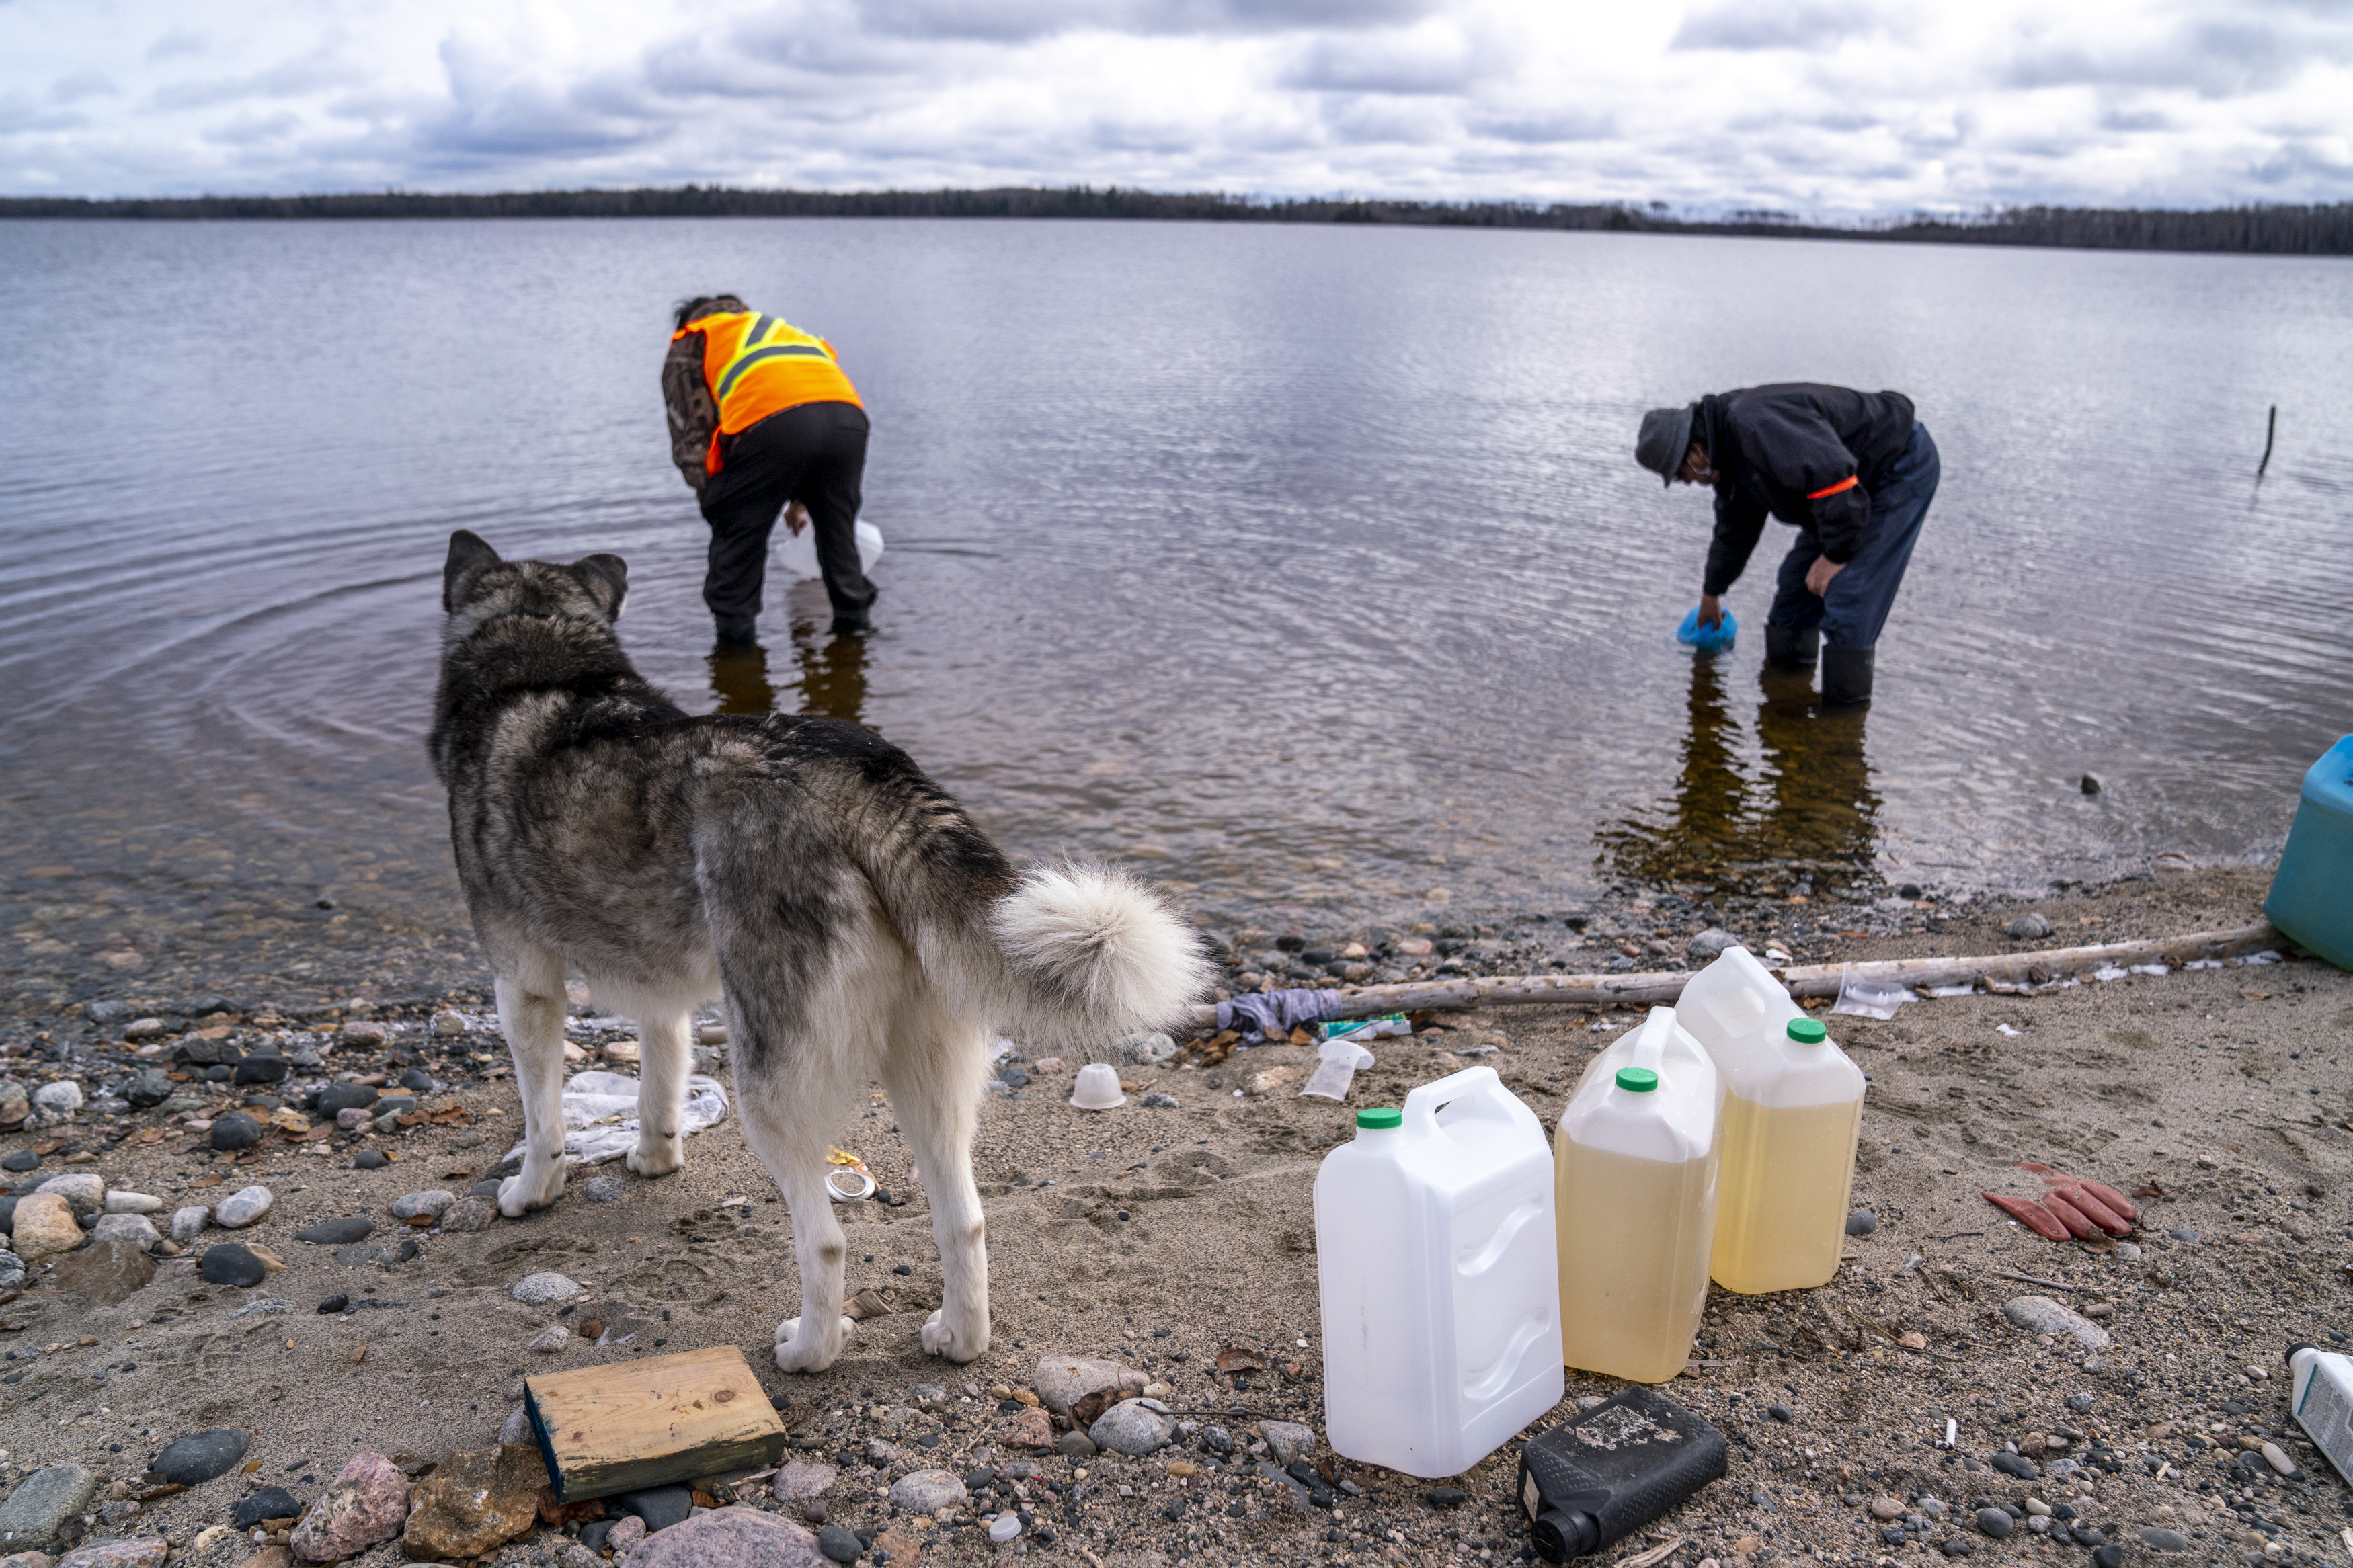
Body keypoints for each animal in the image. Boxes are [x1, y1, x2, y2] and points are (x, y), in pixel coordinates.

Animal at [426, 536, 1205, 1372]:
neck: (542, 656)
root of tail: (856, 770)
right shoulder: (661, 996)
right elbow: (659, 1082)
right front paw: (655, 1155)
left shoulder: (523, 984)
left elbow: (541, 1117)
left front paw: (530, 1192)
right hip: (924, 1073)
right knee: (963, 1220)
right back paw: (956, 1338)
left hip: (770, 1090)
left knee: (825, 1241)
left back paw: (808, 1348)